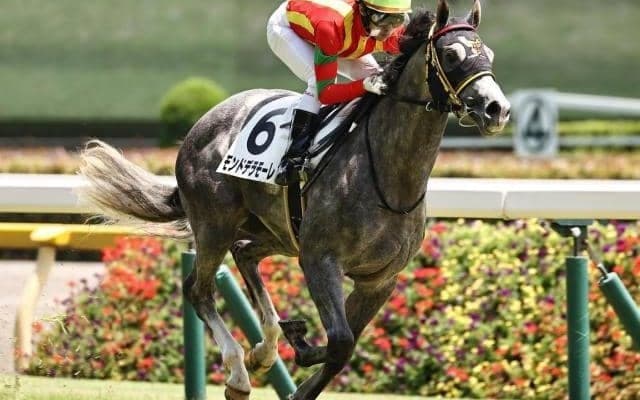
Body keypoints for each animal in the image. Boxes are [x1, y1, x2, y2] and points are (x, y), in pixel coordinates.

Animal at [79, 1, 510, 399]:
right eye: (452, 55)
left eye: (488, 54)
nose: (497, 109)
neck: (390, 178)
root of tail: (202, 124)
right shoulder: (320, 259)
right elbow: (340, 342)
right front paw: (299, 341)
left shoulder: (380, 280)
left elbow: (343, 348)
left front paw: (295, 351)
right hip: (215, 224)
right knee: (198, 290)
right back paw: (240, 371)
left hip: (275, 231)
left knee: (245, 253)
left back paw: (264, 349)